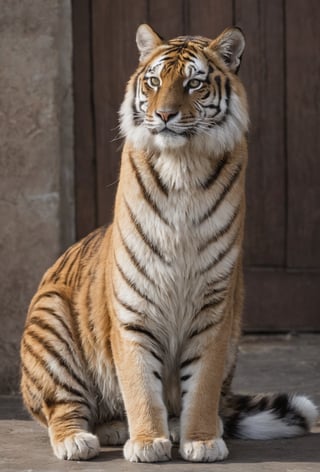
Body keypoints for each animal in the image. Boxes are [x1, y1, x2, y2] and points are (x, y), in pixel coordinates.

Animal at [20, 24, 318, 462]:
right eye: (154, 81)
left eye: (194, 83)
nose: (163, 115)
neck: (183, 166)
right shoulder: (133, 306)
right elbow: (140, 383)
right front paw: (147, 442)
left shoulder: (215, 308)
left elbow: (203, 386)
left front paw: (201, 440)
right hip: (50, 319)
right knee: (63, 406)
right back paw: (81, 439)